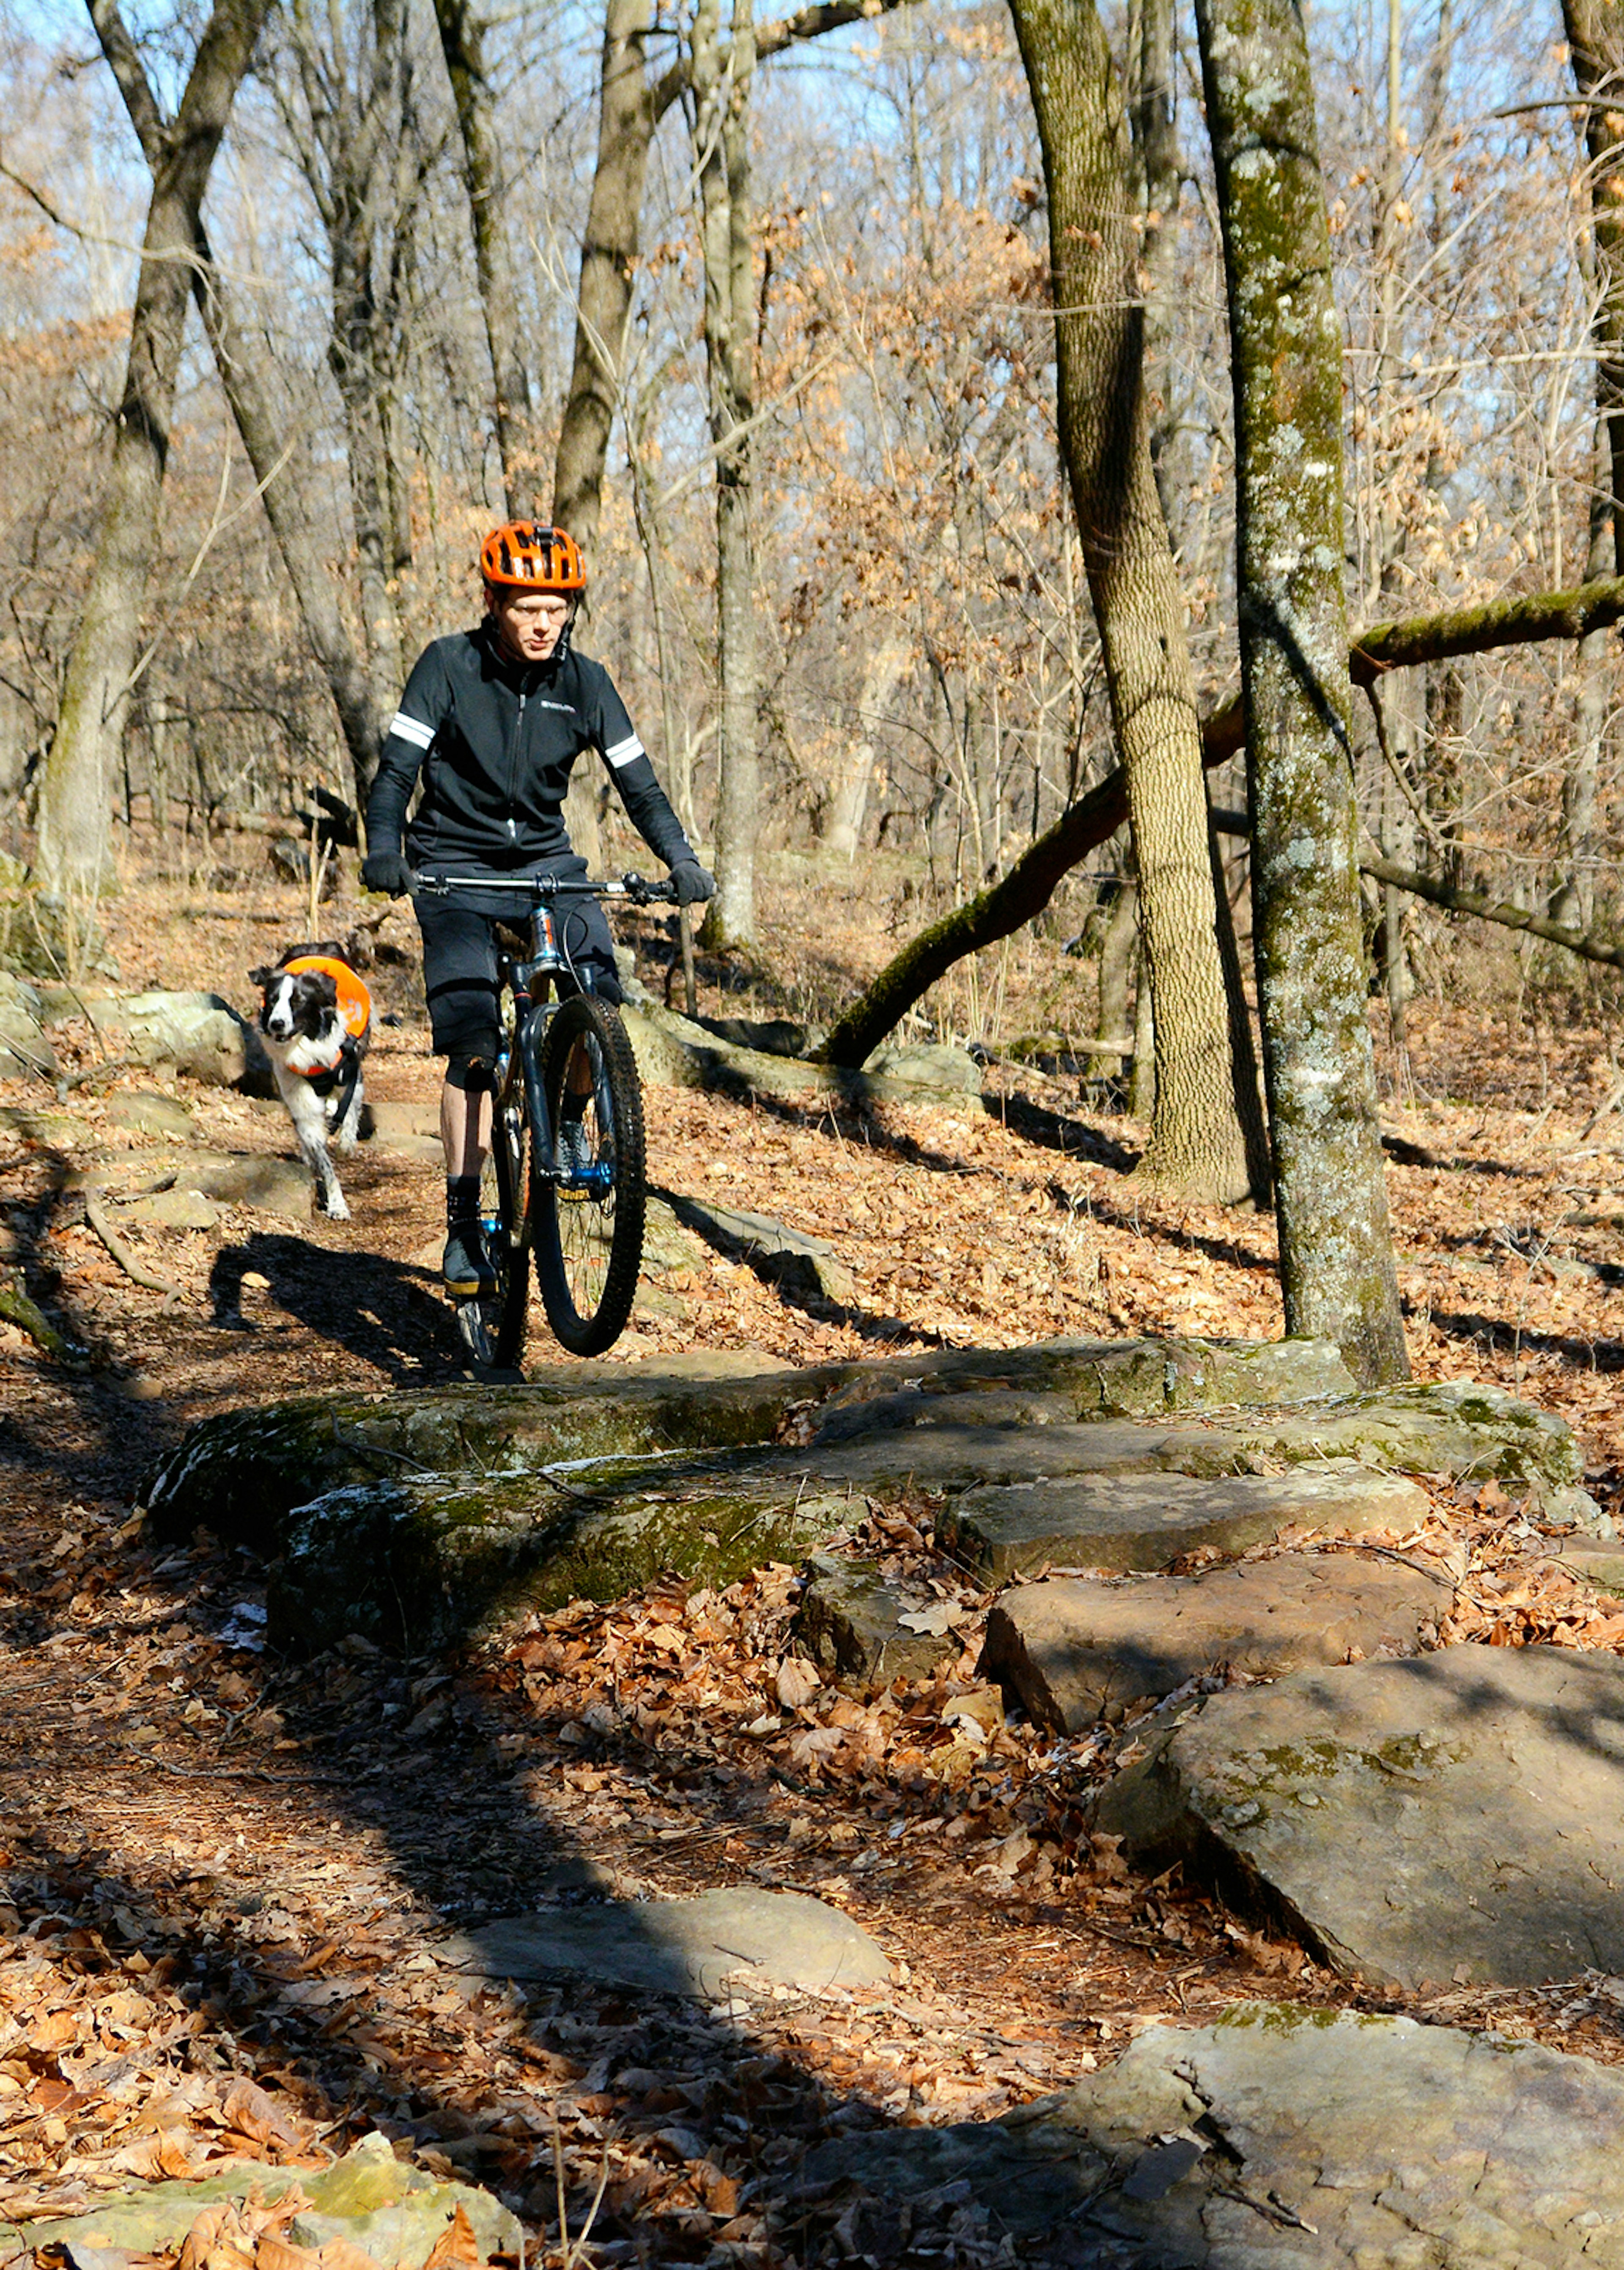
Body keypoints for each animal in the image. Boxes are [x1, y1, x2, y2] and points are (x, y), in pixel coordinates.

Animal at [247, 940, 372, 1226]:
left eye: (298, 1001)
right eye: (272, 1000)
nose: (277, 1024)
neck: (306, 1046)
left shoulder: (352, 1074)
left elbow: (350, 1113)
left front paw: (347, 1143)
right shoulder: (300, 1102)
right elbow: (322, 1158)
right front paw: (337, 1204)